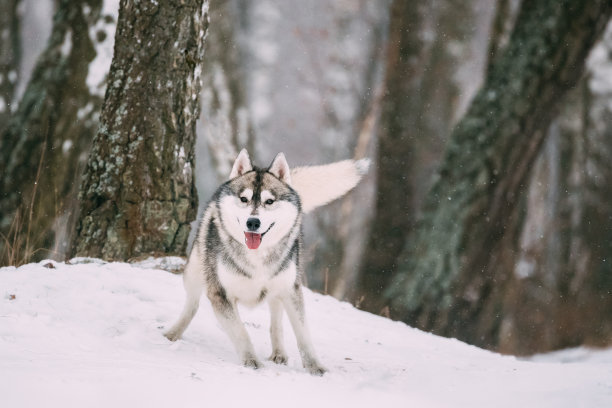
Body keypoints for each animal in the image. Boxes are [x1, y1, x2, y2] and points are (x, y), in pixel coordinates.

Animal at [163, 148, 370, 374]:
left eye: (269, 201)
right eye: (244, 199)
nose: (253, 222)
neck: (257, 257)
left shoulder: (291, 289)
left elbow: (303, 334)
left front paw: (315, 367)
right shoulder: (220, 294)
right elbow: (241, 331)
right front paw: (251, 361)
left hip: (278, 289)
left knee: (276, 320)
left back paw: (279, 353)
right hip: (194, 273)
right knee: (191, 305)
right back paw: (173, 333)